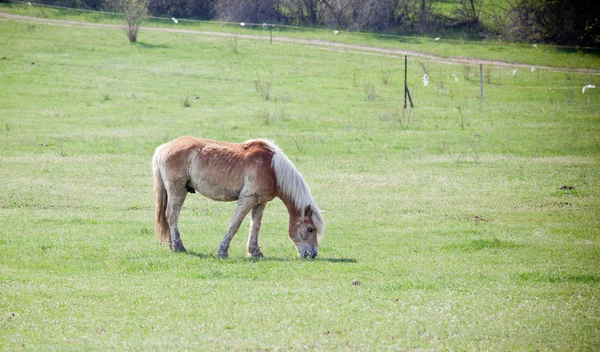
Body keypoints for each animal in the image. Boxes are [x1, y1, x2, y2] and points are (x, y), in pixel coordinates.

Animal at [152, 136, 326, 260]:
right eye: (310, 229)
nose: (313, 254)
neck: (273, 169)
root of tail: (164, 147)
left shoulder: (260, 202)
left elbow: (255, 226)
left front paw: (255, 252)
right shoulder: (247, 199)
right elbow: (234, 225)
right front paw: (222, 252)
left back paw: (172, 247)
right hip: (177, 190)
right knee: (172, 216)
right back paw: (179, 247)